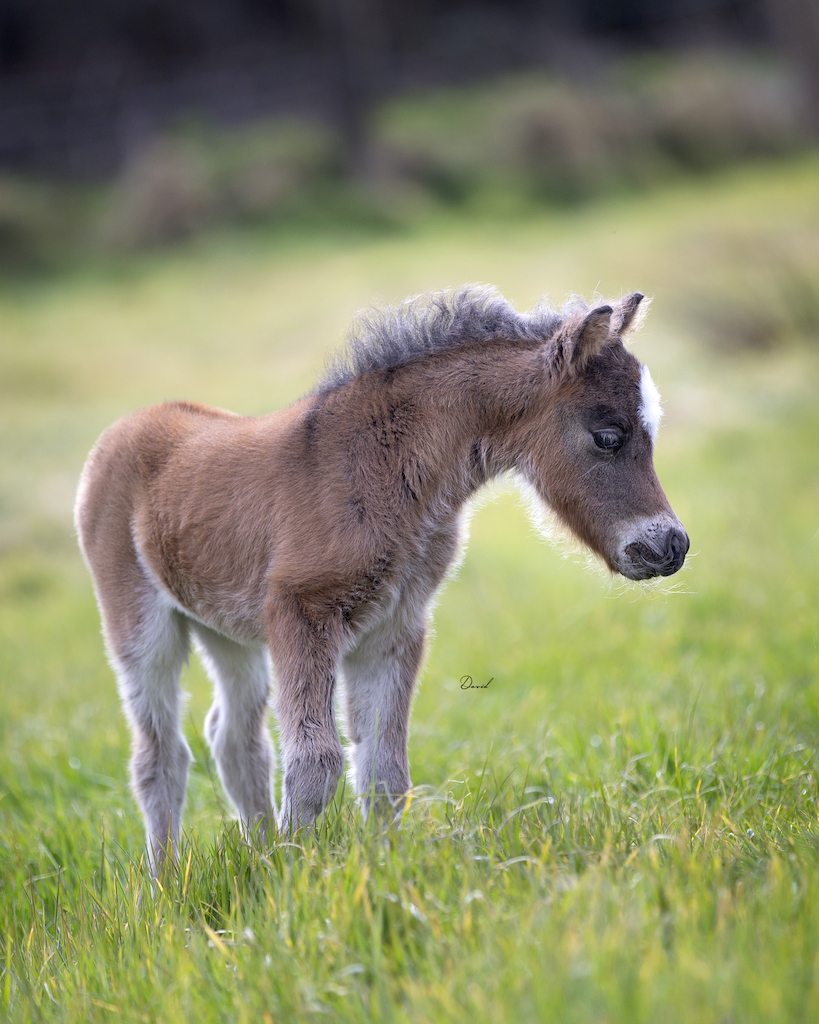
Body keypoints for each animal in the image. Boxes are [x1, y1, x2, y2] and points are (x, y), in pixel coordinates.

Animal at [74, 286, 689, 874]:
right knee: (160, 755)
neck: (389, 466)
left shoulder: (394, 628)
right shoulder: (300, 614)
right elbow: (316, 761)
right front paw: (295, 877)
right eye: (607, 436)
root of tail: (124, 427)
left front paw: (378, 869)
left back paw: (258, 850)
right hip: (139, 623)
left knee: (235, 740)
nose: (671, 546)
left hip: (227, 630)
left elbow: (384, 770)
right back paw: (164, 879)